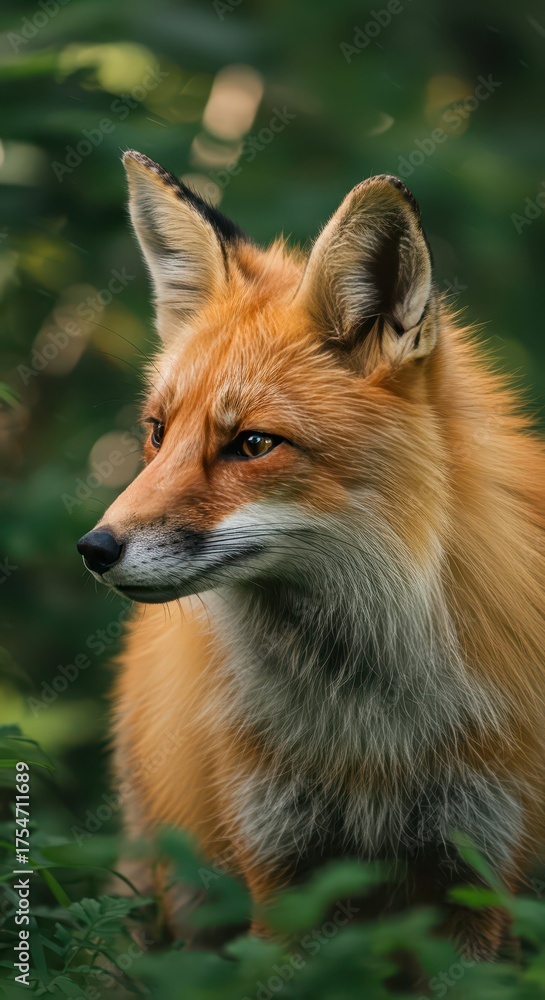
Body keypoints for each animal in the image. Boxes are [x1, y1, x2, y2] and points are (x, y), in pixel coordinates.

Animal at [77, 150, 545, 961]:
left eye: (254, 443)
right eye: (158, 432)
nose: (94, 548)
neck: (365, 734)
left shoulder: (479, 870)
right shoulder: (282, 866)